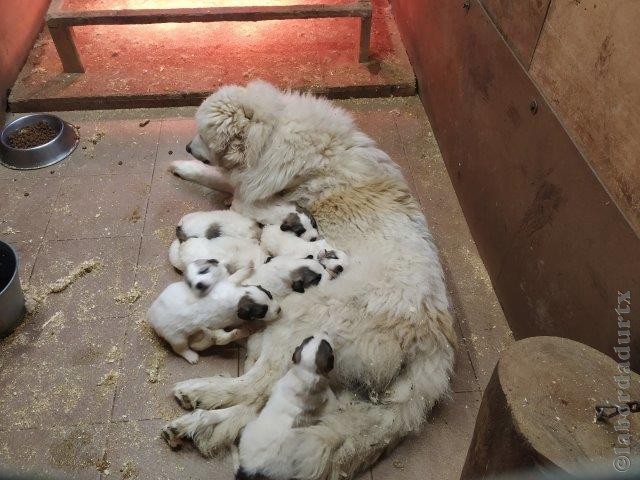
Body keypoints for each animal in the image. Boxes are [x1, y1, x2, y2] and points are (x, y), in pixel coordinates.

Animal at [151, 258, 282, 364]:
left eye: (269, 294)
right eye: (261, 313)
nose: (279, 310)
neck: (236, 298)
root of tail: (150, 316)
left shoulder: (228, 283)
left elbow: (236, 276)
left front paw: (248, 266)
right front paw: (255, 326)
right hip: (177, 338)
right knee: (180, 349)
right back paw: (191, 356)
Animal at [234, 334, 336, 480]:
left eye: (308, 338)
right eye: (327, 345)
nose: (325, 331)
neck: (303, 373)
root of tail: (250, 468)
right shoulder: (326, 397)